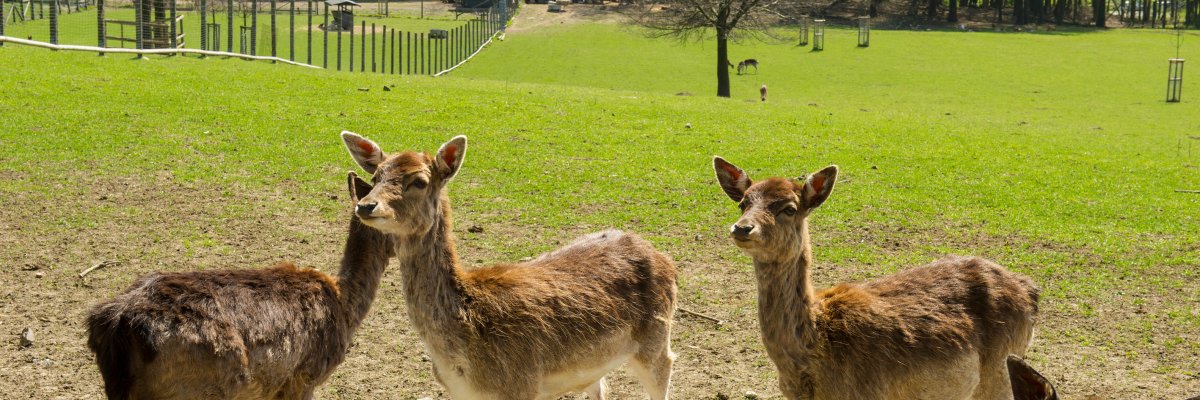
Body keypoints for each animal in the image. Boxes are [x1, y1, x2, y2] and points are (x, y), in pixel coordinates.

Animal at [340, 131, 677, 400]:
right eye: (376, 176)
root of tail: (663, 257)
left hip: (656, 340)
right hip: (595, 365)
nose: (366, 206)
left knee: (666, 369)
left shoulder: (521, 385)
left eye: (420, 182)